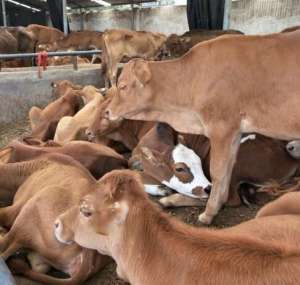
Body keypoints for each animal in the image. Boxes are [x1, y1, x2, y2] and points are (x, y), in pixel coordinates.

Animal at [103, 30, 300, 223]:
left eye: (123, 86)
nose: (107, 111)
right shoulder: (235, 133)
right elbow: (226, 171)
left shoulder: (221, 128)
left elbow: (217, 173)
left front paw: (209, 213)